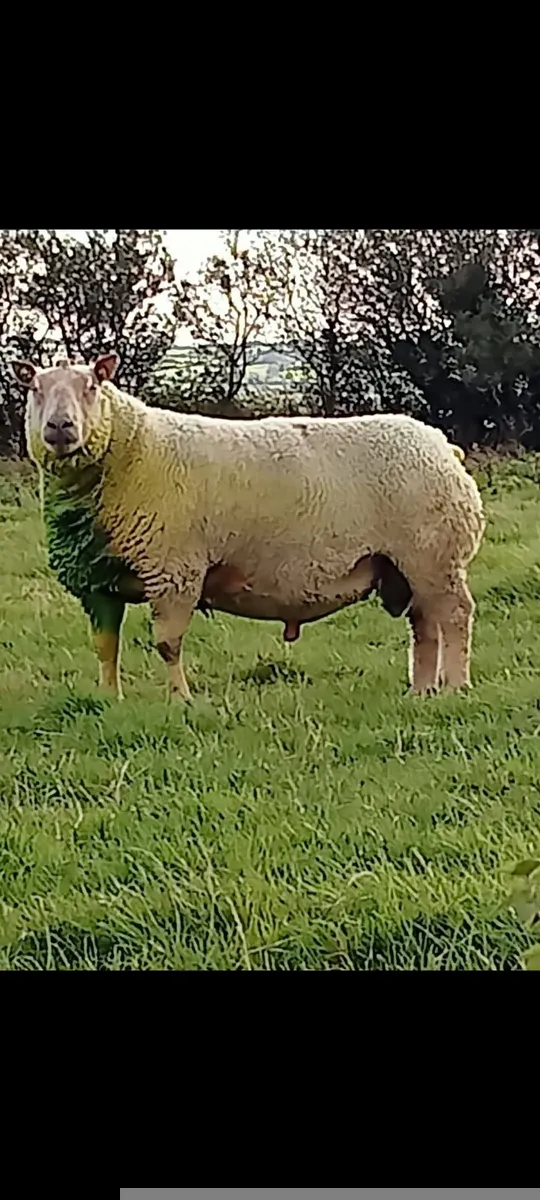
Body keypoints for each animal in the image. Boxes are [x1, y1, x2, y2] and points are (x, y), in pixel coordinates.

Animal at [12, 353, 485, 701]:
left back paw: (455, 687)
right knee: (424, 625)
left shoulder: (174, 571)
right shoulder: (100, 582)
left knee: (455, 616)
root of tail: (441, 445)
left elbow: (167, 644)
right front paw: (110, 699)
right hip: (408, 564)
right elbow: (105, 646)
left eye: (92, 386)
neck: (131, 450)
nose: (60, 426)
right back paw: (421, 692)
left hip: (434, 556)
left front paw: (180, 700)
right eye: (35, 389)